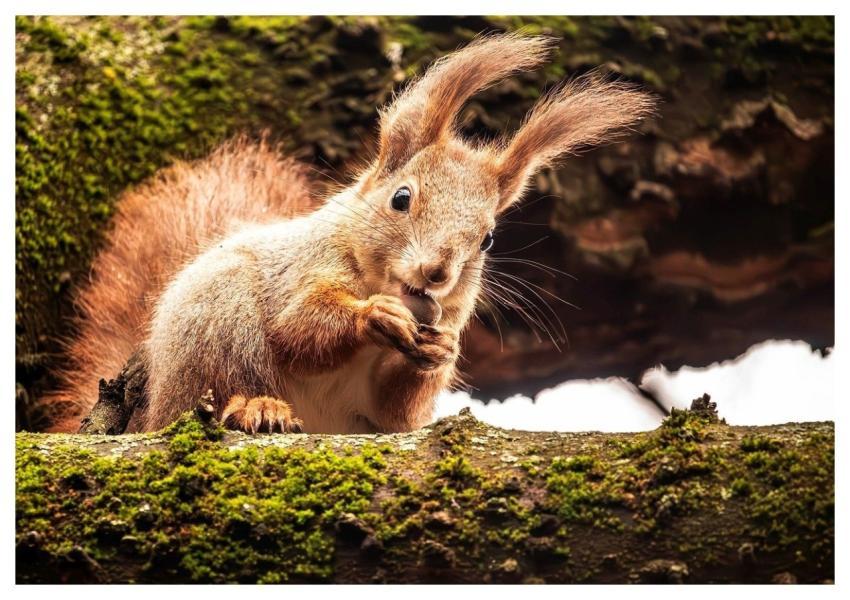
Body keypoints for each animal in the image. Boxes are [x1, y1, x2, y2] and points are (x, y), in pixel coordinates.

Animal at [45, 33, 654, 434]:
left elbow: (399, 413)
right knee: (228, 384)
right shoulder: (304, 265)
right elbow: (298, 326)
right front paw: (372, 316)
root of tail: (148, 405)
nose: (437, 272)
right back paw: (257, 408)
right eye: (401, 198)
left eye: (486, 239)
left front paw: (440, 351)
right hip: (217, 323)